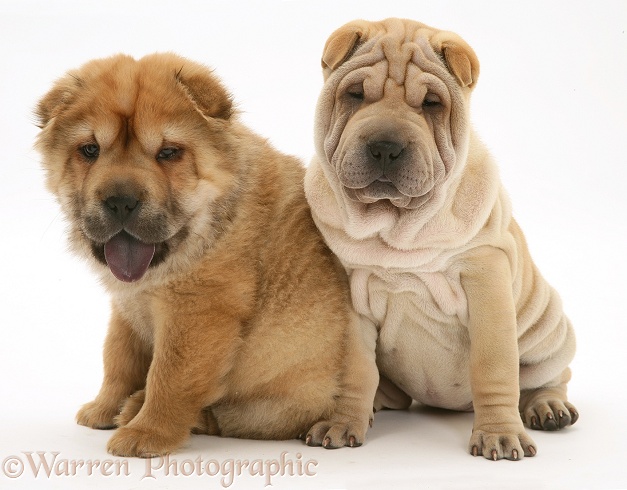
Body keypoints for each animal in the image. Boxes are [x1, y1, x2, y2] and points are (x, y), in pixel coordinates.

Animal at [36, 54, 378, 460]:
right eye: (90, 150)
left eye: (168, 153)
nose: (120, 201)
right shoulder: (128, 305)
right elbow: (119, 357)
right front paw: (103, 408)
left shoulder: (198, 311)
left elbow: (168, 376)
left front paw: (145, 435)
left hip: (286, 397)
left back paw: (139, 410)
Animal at [306, 19, 580, 462]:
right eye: (355, 94)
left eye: (432, 103)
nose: (385, 147)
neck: (396, 229)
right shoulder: (350, 293)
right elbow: (356, 370)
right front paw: (343, 421)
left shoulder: (486, 281)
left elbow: (494, 366)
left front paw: (499, 434)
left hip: (547, 328)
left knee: (549, 375)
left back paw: (548, 406)